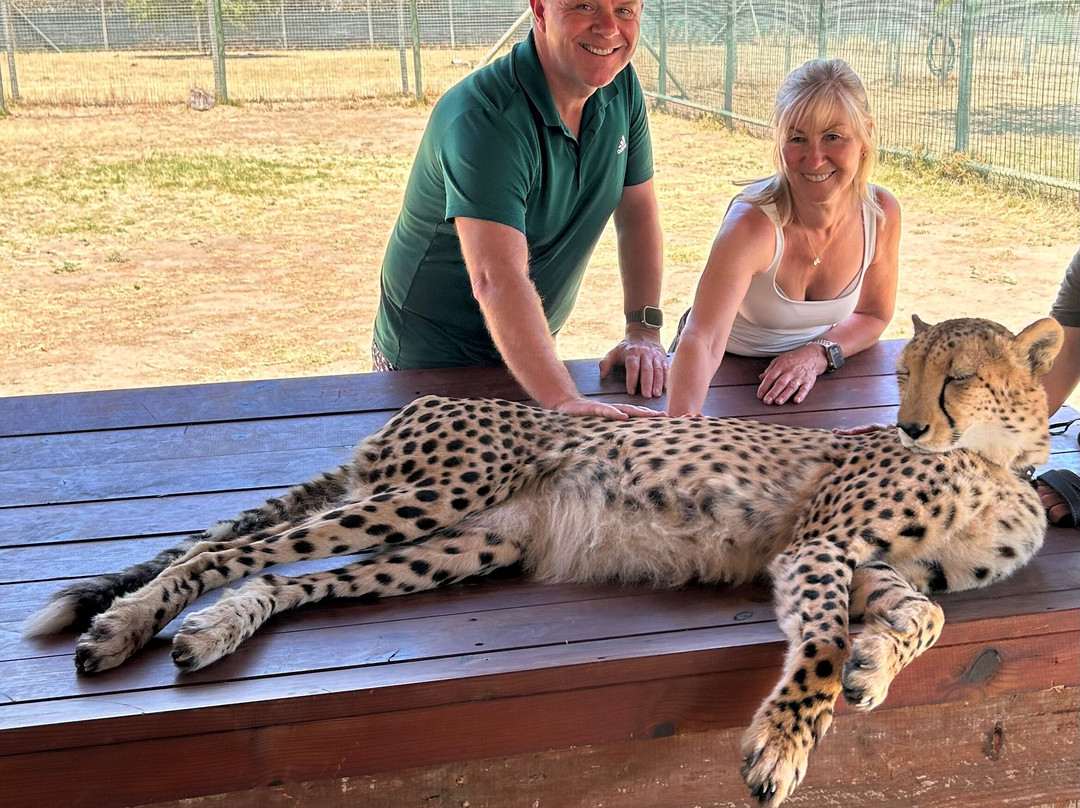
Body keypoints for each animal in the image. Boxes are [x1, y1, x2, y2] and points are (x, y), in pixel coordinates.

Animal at [25, 315, 1063, 807]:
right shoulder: (816, 544)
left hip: (458, 542)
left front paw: (874, 667)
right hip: (431, 495)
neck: (998, 462)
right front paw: (786, 742)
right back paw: (127, 623)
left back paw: (210, 630)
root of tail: (424, 404)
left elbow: (925, 614)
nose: (911, 424)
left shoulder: (873, 565)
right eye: (908, 372)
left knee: (282, 576)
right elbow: (812, 652)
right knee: (232, 547)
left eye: (955, 375)